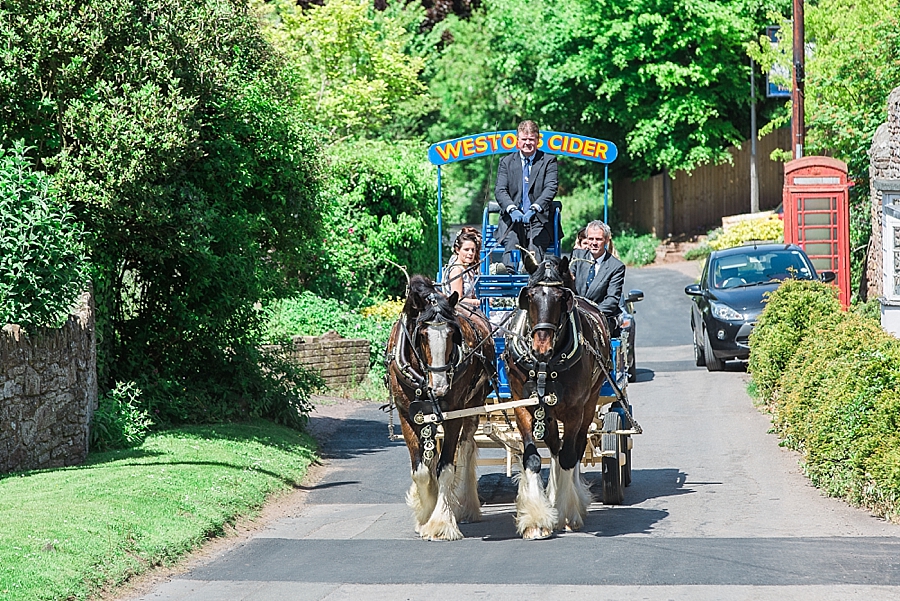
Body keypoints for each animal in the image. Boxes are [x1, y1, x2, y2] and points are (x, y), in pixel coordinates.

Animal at [384, 276, 496, 540]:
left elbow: (445, 467)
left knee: (466, 447)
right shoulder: (407, 415)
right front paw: (425, 515)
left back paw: (467, 505)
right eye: (422, 334)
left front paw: (441, 523)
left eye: (452, 333)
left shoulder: (454, 414)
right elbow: (422, 470)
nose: (441, 387)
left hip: (473, 406)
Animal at [506, 251, 612, 536]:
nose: (541, 347)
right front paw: (536, 520)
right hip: (549, 413)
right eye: (530, 295)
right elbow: (533, 459)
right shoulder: (523, 405)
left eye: (560, 298)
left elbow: (568, 456)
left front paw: (567, 512)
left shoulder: (575, 410)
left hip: (589, 403)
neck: (546, 364)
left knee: (575, 447)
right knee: (554, 447)